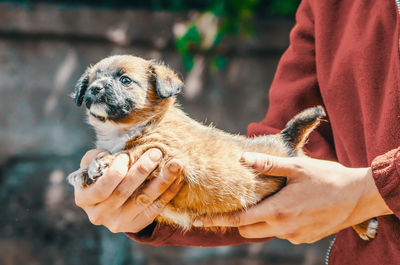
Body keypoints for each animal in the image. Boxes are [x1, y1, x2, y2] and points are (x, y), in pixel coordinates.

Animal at [67, 54, 376, 238]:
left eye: (125, 80)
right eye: (91, 80)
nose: (95, 89)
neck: (123, 129)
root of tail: (284, 140)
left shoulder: (164, 152)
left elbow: (129, 153)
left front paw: (103, 163)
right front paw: (82, 171)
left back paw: (364, 225)